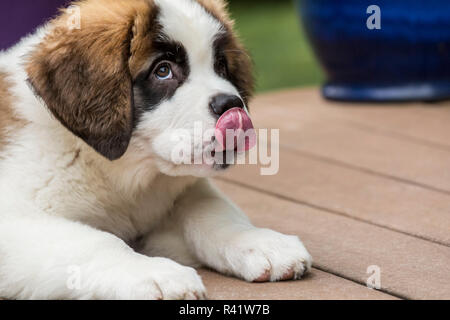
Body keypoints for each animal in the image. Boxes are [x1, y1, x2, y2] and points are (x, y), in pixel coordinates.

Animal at [0, 0, 312, 300]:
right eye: (163, 71)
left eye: (221, 66)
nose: (231, 105)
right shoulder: (14, 221)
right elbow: (95, 241)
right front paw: (153, 274)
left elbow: (210, 208)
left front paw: (259, 241)